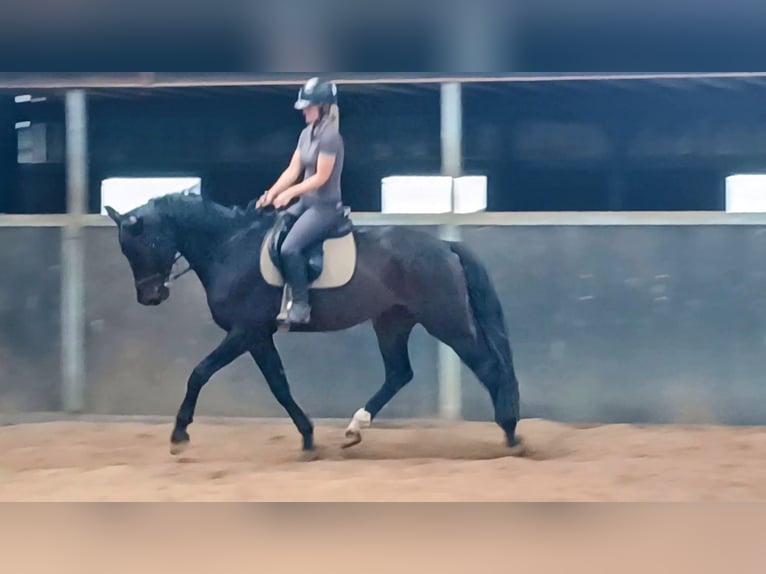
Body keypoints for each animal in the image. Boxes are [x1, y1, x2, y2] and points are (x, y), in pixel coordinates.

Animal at [104, 192, 521, 456]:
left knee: (489, 367)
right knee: (399, 373)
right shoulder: (259, 337)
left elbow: (199, 373)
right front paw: (307, 439)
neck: (229, 247)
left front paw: (179, 435)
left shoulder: (244, 332)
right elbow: (279, 385)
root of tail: (446, 247)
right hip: (392, 322)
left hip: (446, 321)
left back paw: (511, 433)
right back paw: (354, 429)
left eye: (143, 245)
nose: (150, 297)